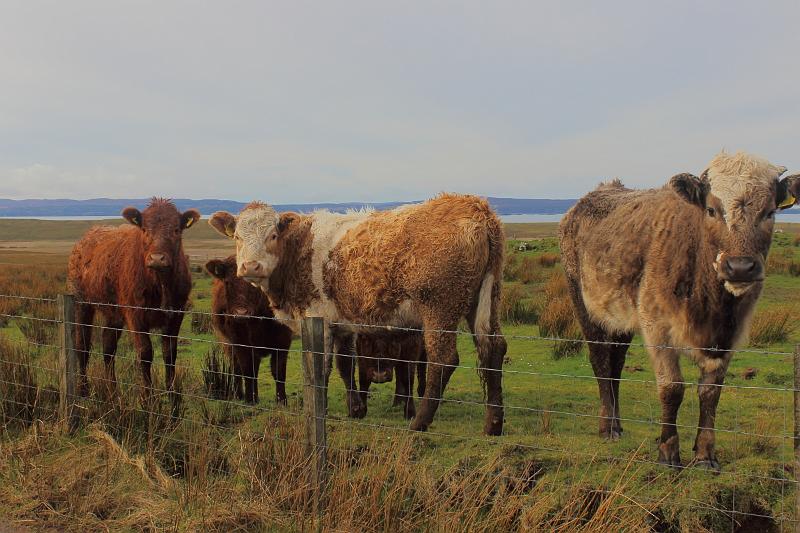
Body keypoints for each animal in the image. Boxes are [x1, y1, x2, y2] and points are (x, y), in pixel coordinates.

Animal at [67, 198, 200, 396]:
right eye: (144, 229)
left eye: (176, 229)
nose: (157, 258)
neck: (160, 284)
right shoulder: (135, 315)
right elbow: (145, 353)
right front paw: (148, 397)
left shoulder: (177, 314)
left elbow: (170, 354)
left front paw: (173, 396)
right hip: (82, 303)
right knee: (82, 344)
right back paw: (83, 388)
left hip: (113, 312)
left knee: (108, 346)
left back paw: (112, 390)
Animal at [205, 256, 294, 404]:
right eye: (227, 282)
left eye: (255, 282)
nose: (241, 313)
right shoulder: (240, 342)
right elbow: (247, 369)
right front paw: (250, 399)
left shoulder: (283, 341)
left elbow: (279, 371)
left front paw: (282, 401)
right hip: (229, 343)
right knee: (237, 367)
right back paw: (239, 394)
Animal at [559, 151, 799, 470]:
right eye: (711, 209)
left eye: (770, 212)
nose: (740, 267)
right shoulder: (657, 327)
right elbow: (672, 388)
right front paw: (668, 453)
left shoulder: (728, 338)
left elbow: (710, 392)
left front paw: (705, 455)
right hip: (584, 304)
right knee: (600, 361)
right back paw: (607, 427)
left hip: (619, 319)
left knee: (615, 365)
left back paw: (618, 424)